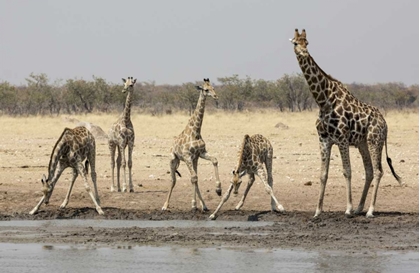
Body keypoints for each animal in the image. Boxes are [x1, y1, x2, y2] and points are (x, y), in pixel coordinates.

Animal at [162, 77, 223, 211]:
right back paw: (165, 205)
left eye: (213, 88)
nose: (216, 96)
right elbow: (193, 178)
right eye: (206, 89)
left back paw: (204, 205)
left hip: (194, 160)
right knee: (174, 180)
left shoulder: (200, 153)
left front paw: (218, 189)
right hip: (173, 160)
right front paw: (193, 204)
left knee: (195, 178)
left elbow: (214, 160)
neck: (196, 131)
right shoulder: (187, 156)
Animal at [290, 28, 402, 218]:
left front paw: (348, 209)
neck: (323, 101)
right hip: (363, 143)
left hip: (375, 141)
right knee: (369, 171)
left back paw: (369, 210)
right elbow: (323, 174)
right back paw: (360, 208)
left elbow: (347, 171)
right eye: (296, 43)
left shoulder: (342, 139)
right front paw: (317, 211)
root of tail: (385, 123)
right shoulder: (324, 140)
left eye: (307, 42)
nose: (304, 52)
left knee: (378, 171)